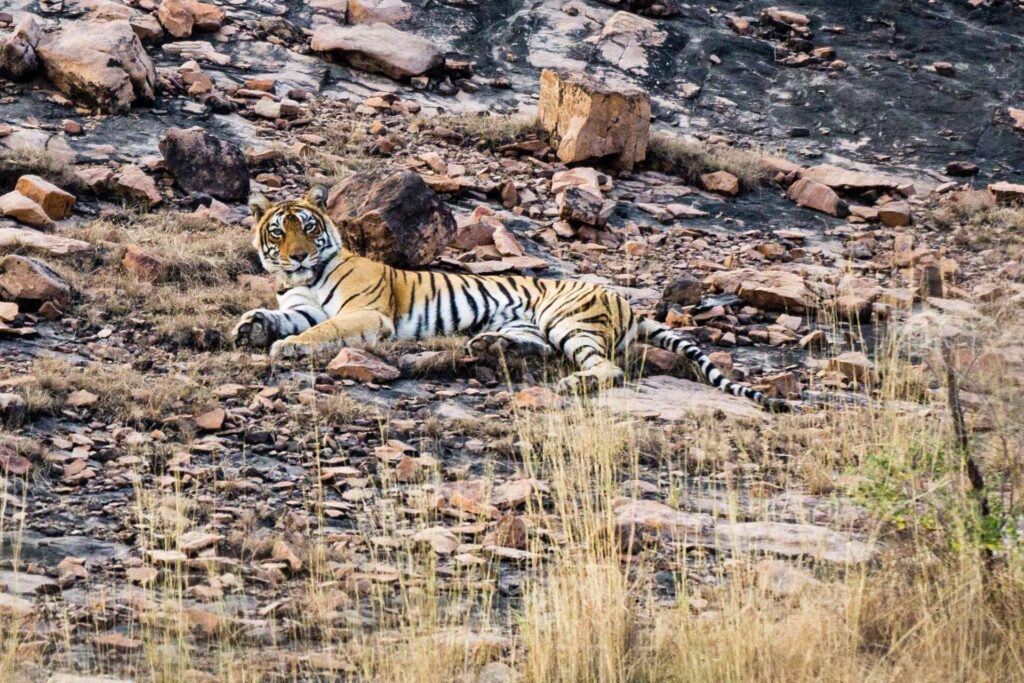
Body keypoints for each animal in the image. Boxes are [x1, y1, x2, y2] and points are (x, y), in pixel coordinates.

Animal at [233, 186, 792, 411]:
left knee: (606, 368)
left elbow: (322, 329)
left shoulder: (366, 312)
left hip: (568, 319)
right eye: (278, 232)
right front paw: (251, 327)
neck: (306, 279)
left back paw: (569, 383)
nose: (298, 256)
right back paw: (490, 346)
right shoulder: (297, 304)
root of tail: (625, 301)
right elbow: (278, 316)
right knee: (536, 349)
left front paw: (286, 348)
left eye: (307, 227)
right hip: (534, 324)